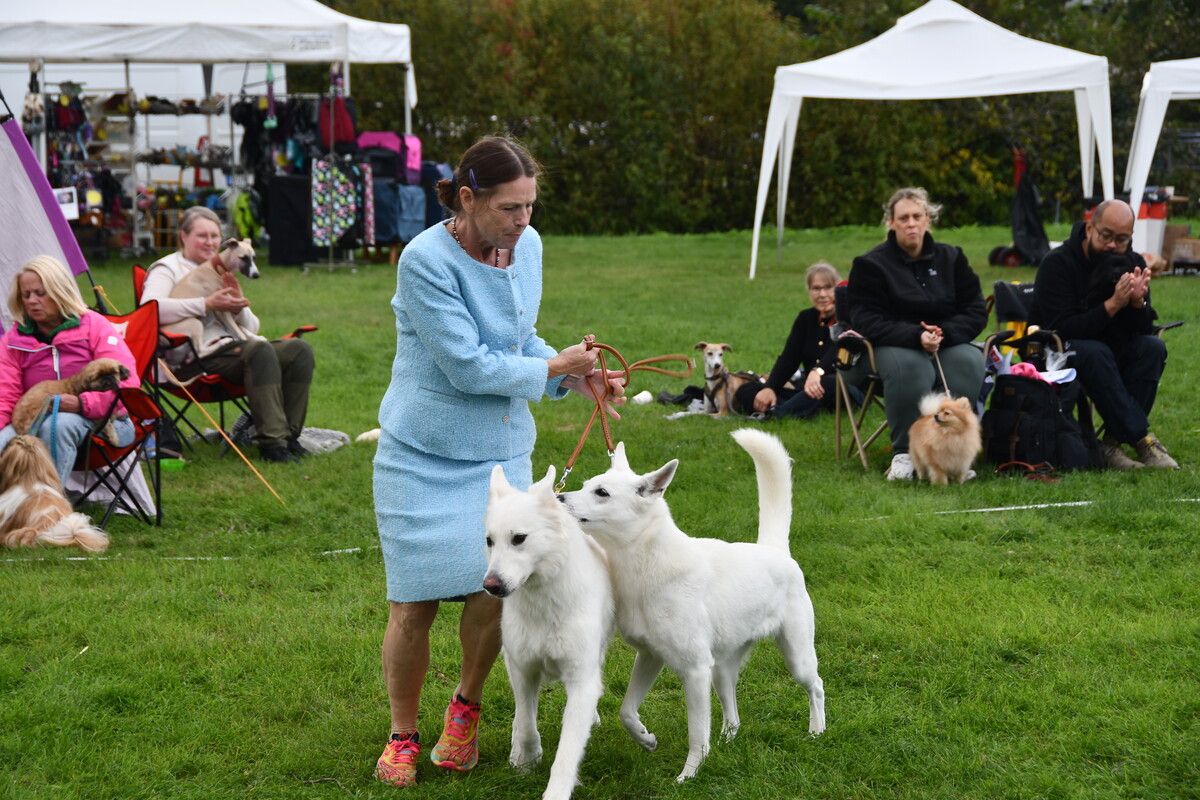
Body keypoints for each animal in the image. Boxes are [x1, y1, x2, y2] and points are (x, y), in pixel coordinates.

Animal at [483, 464, 615, 800]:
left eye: (519, 539)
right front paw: (526, 760)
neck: (544, 602)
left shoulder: (581, 680)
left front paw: (556, 791)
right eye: (489, 541)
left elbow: (568, 750)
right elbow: (526, 721)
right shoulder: (522, 668)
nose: (490, 586)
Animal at [559, 428, 824, 782]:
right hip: (722, 670)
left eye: (602, 492)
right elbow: (626, 711)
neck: (645, 563)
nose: (558, 498)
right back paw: (728, 740)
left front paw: (689, 775)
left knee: (816, 687)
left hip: (797, 657)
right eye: (586, 485)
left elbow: (697, 734)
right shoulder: (650, 656)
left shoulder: (695, 672)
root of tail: (774, 550)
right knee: (732, 712)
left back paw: (817, 731)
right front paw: (645, 738)